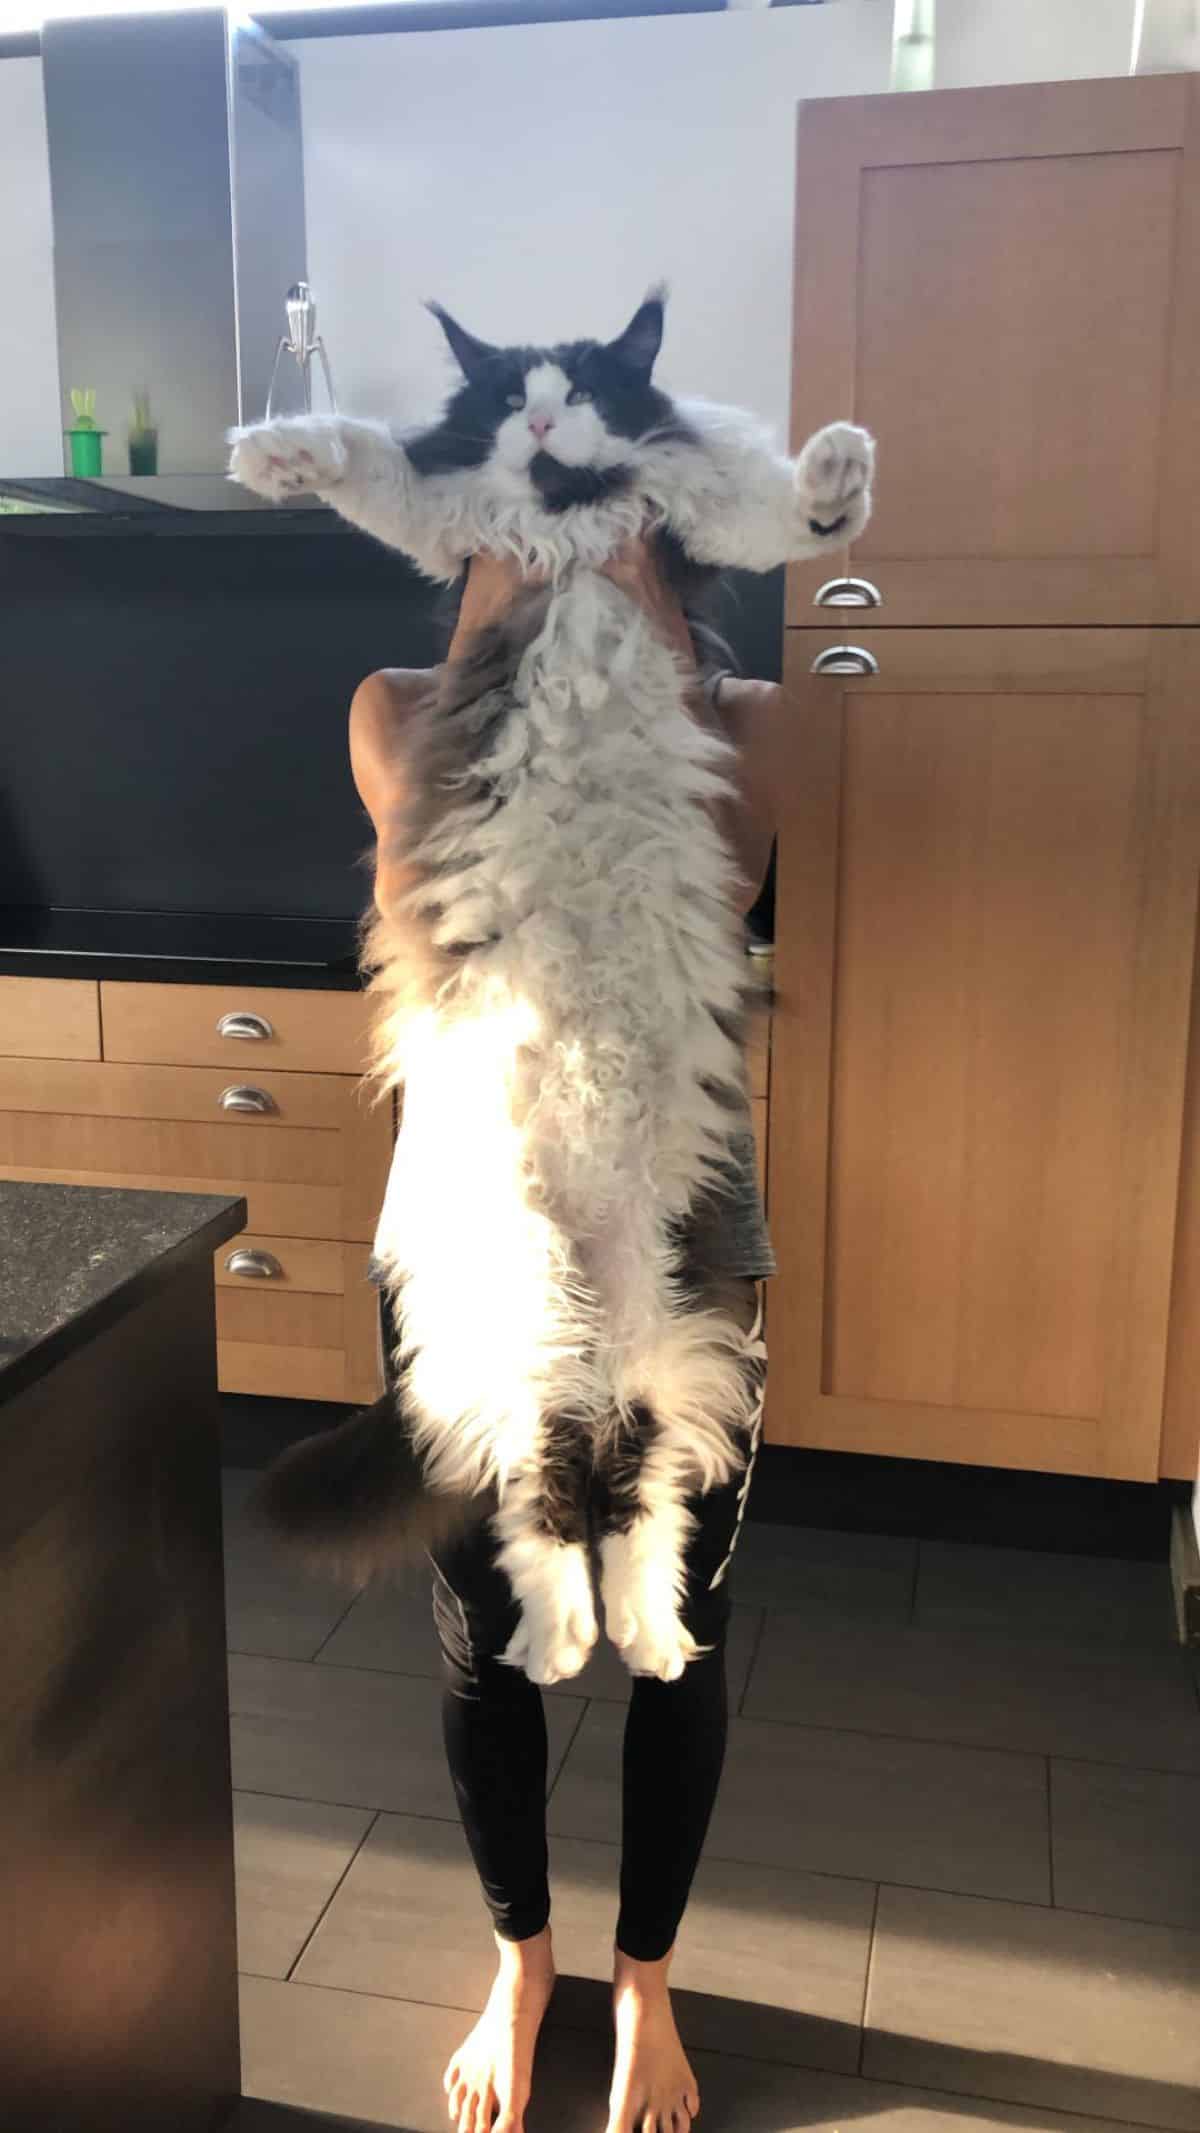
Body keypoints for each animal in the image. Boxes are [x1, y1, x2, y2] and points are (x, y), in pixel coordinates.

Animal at [230, 292, 878, 1680]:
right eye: (506, 392)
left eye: (578, 388)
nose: (536, 420)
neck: (571, 517)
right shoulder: (459, 516)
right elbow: (371, 461)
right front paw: (277, 452)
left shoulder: (688, 510)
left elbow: (784, 506)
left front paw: (841, 468)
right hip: (512, 1312)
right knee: (544, 1484)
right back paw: (562, 1638)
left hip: (676, 1307)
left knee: (629, 1483)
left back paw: (638, 1632)